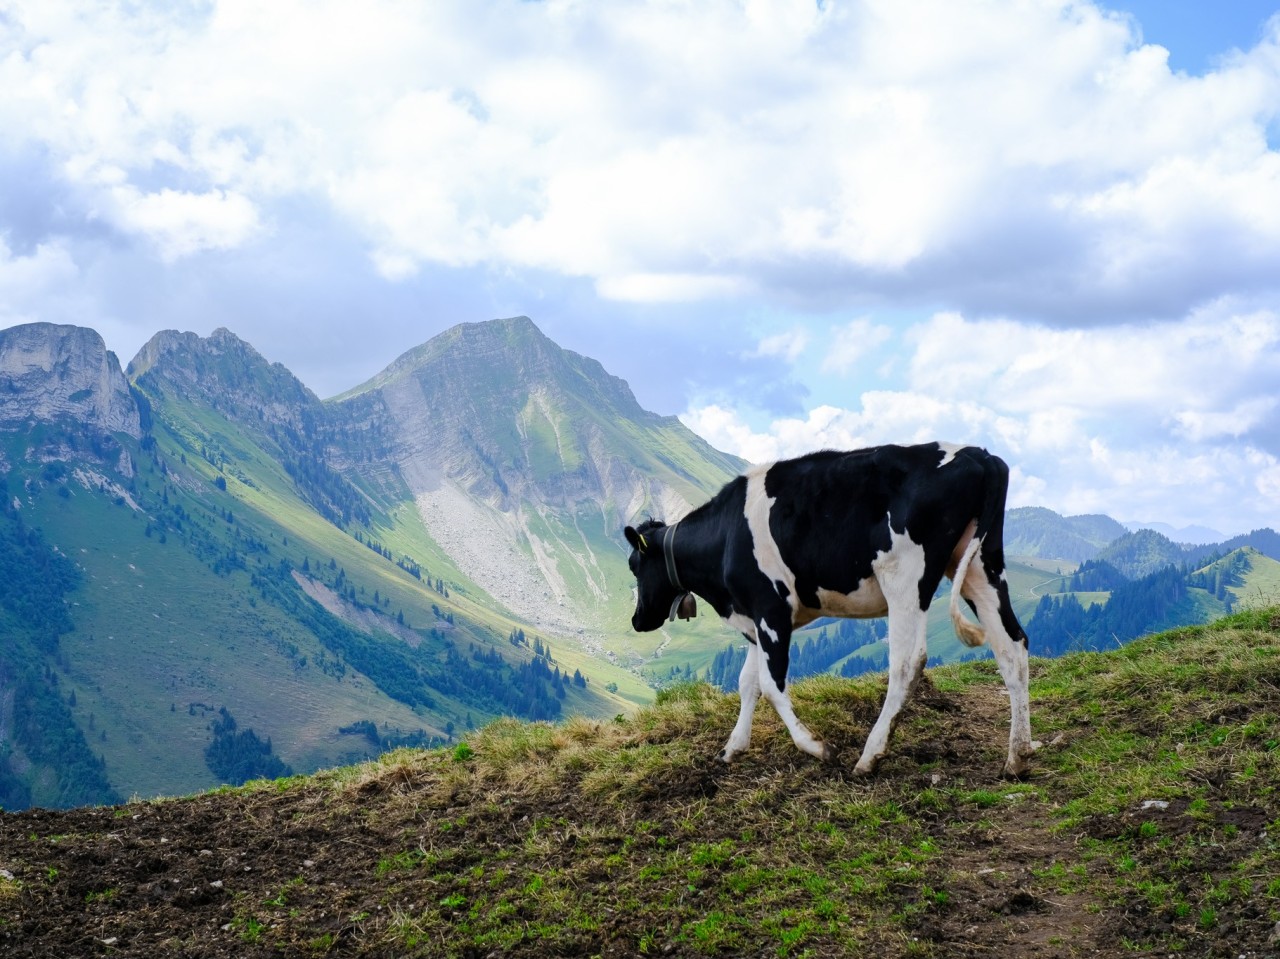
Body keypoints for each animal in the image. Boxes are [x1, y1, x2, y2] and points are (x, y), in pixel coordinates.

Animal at [624, 440, 1034, 778]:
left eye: (633, 565)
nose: (637, 620)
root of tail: (979, 454)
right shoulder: (753, 618)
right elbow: (747, 683)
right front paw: (732, 748)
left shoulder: (771, 609)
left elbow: (771, 685)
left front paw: (817, 748)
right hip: (981, 566)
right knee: (1012, 646)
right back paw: (1017, 757)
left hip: (905, 575)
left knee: (908, 661)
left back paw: (870, 756)